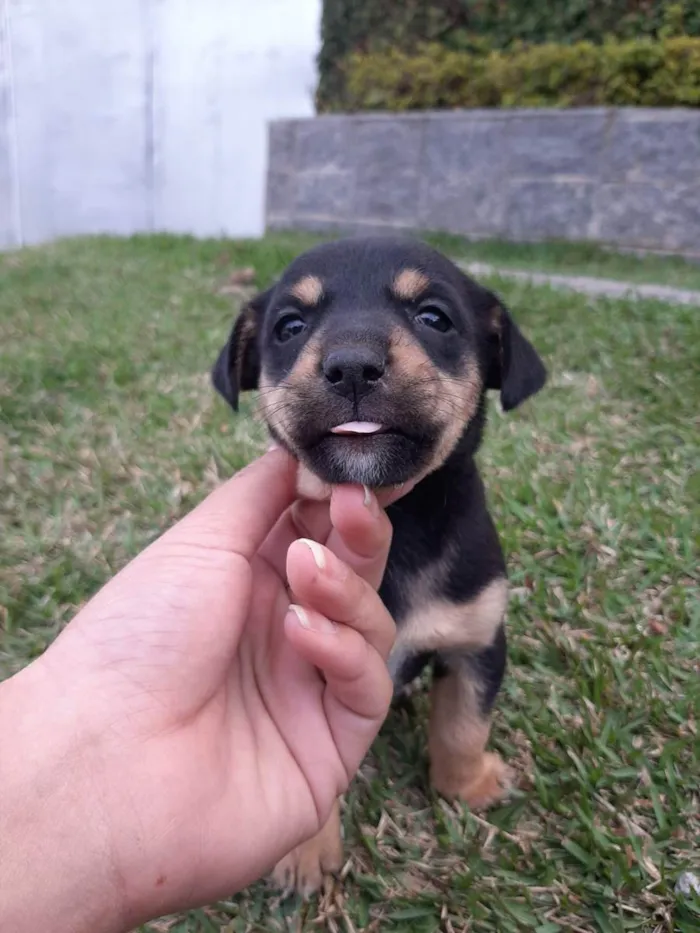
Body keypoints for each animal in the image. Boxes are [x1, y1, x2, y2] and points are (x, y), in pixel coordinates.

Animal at [211, 233, 548, 896]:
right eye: (290, 326)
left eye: (434, 318)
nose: (352, 366)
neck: (401, 520)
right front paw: (304, 854)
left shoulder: (476, 640)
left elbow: (464, 724)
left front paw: (467, 787)